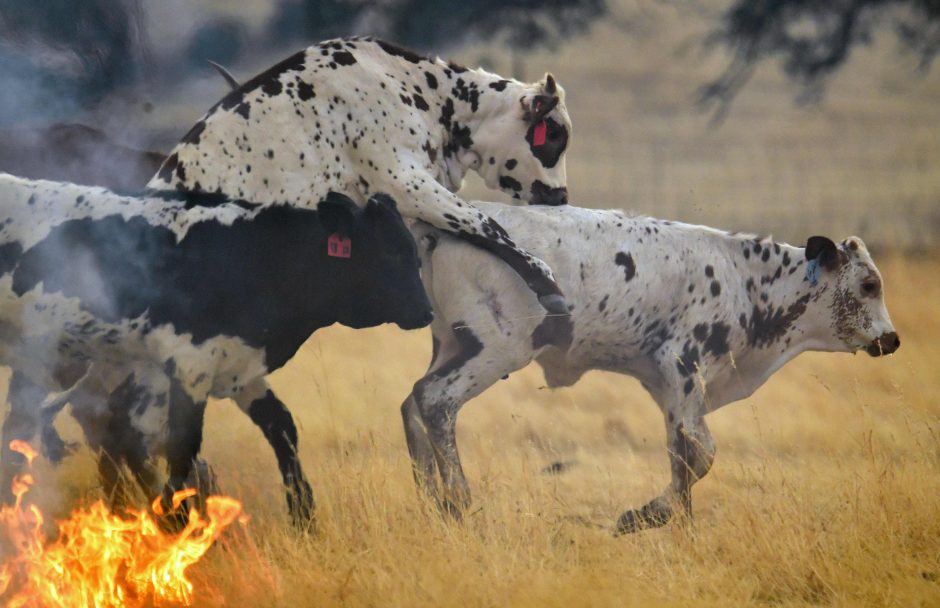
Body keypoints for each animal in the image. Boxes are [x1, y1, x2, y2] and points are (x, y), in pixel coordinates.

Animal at [0, 173, 434, 524]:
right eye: (391, 251)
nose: (426, 311)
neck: (246, 256)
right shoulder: (189, 366)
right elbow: (181, 447)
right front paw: (174, 521)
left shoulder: (241, 367)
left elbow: (282, 428)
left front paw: (304, 518)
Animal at [394, 203, 896, 532]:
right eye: (869, 285)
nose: (892, 339)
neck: (748, 283)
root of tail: (438, 229)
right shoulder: (683, 368)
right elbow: (700, 451)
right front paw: (646, 515)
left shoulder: (668, 388)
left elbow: (681, 454)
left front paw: (677, 524)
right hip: (498, 348)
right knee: (436, 400)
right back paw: (457, 501)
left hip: (452, 343)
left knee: (413, 402)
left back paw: (430, 501)